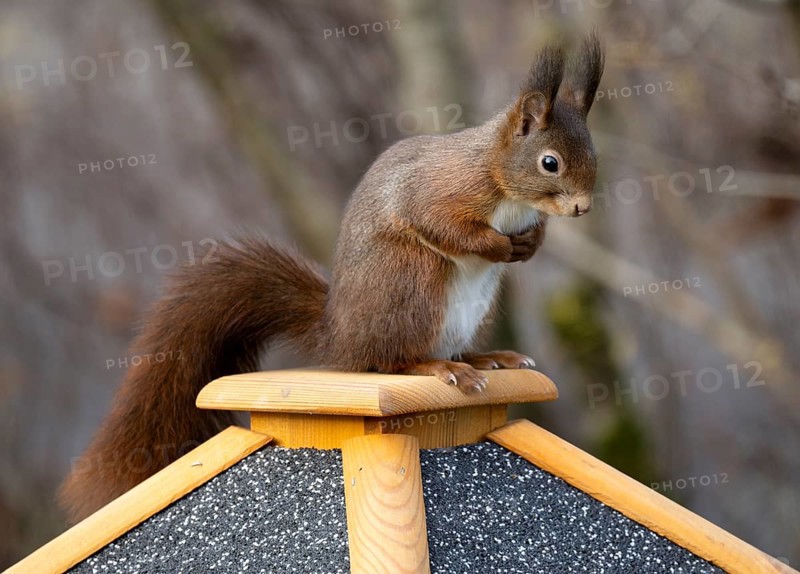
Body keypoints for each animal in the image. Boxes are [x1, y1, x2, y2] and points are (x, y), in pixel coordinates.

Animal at [59, 33, 604, 523]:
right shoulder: (441, 189)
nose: (583, 208)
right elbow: (440, 223)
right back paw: (437, 368)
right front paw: (496, 245)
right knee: (391, 361)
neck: (502, 180)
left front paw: (529, 246)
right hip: (412, 279)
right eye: (549, 163)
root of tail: (338, 335)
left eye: (594, 156)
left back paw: (487, 357)